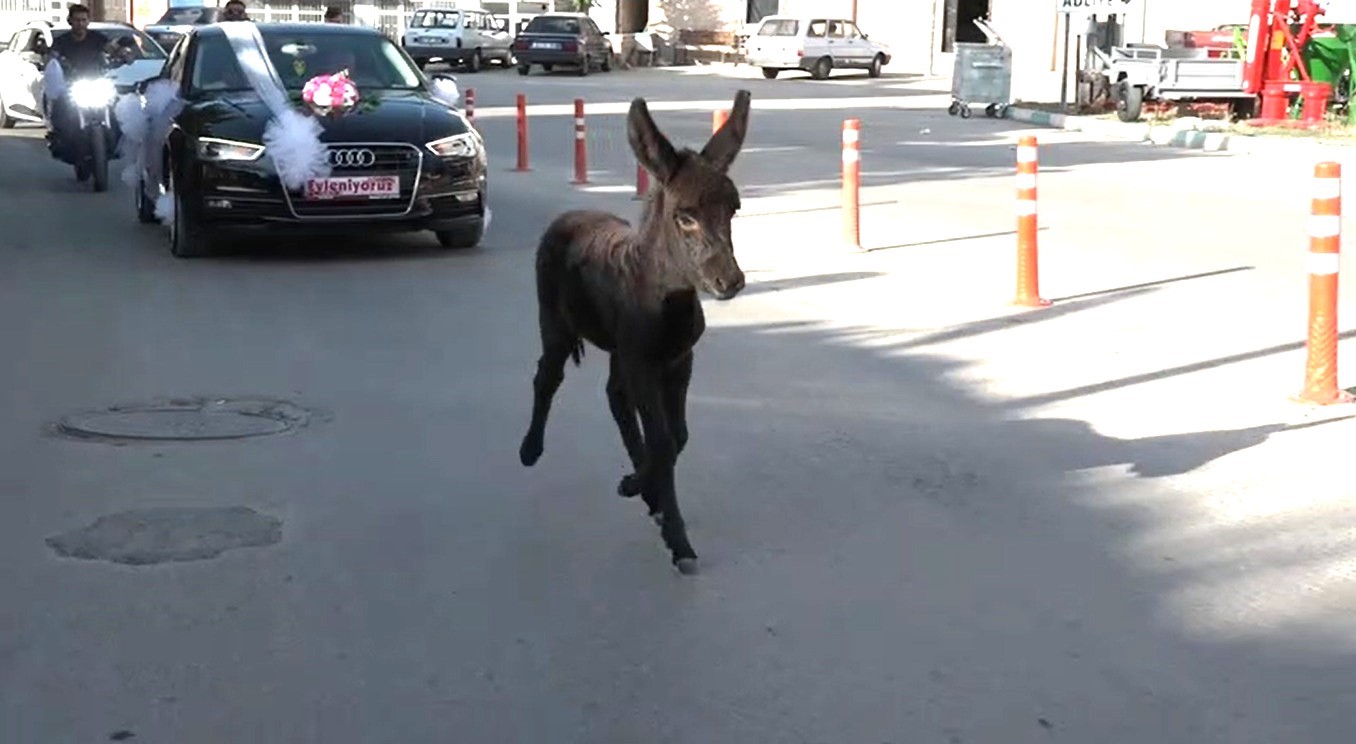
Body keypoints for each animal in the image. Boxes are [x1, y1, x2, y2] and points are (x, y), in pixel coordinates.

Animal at [515, 88, 753, 574]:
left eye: (733, 210)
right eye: (685, 217)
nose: (730, 281)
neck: (668, 294)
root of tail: (570, 213)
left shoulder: (679, 359)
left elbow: (677, 437)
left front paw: (648, 495)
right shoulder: (643, 361)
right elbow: (662, 441)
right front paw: (676, 537)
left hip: (619, 349)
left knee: (614, 395)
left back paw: (648, 493)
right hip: (556, 321)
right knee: (548, 375)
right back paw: (530, 449)